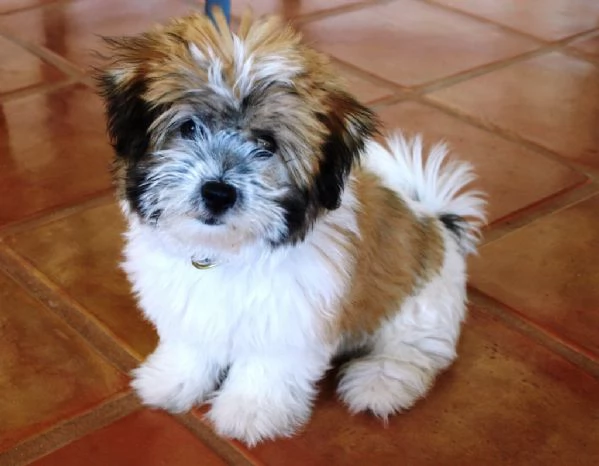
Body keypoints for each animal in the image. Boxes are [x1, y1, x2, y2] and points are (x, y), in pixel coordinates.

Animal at [95, 10, 488, 446]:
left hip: (421, 307)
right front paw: (172, 382)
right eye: (190, 127)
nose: (218, 192)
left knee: (414, 350)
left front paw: (249, 412)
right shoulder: (188, 306)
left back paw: (379, 383)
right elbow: (191, 343)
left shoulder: (291, 321)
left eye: (266, 144)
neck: (226, 252)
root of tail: (438, 220)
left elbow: (267, 369)